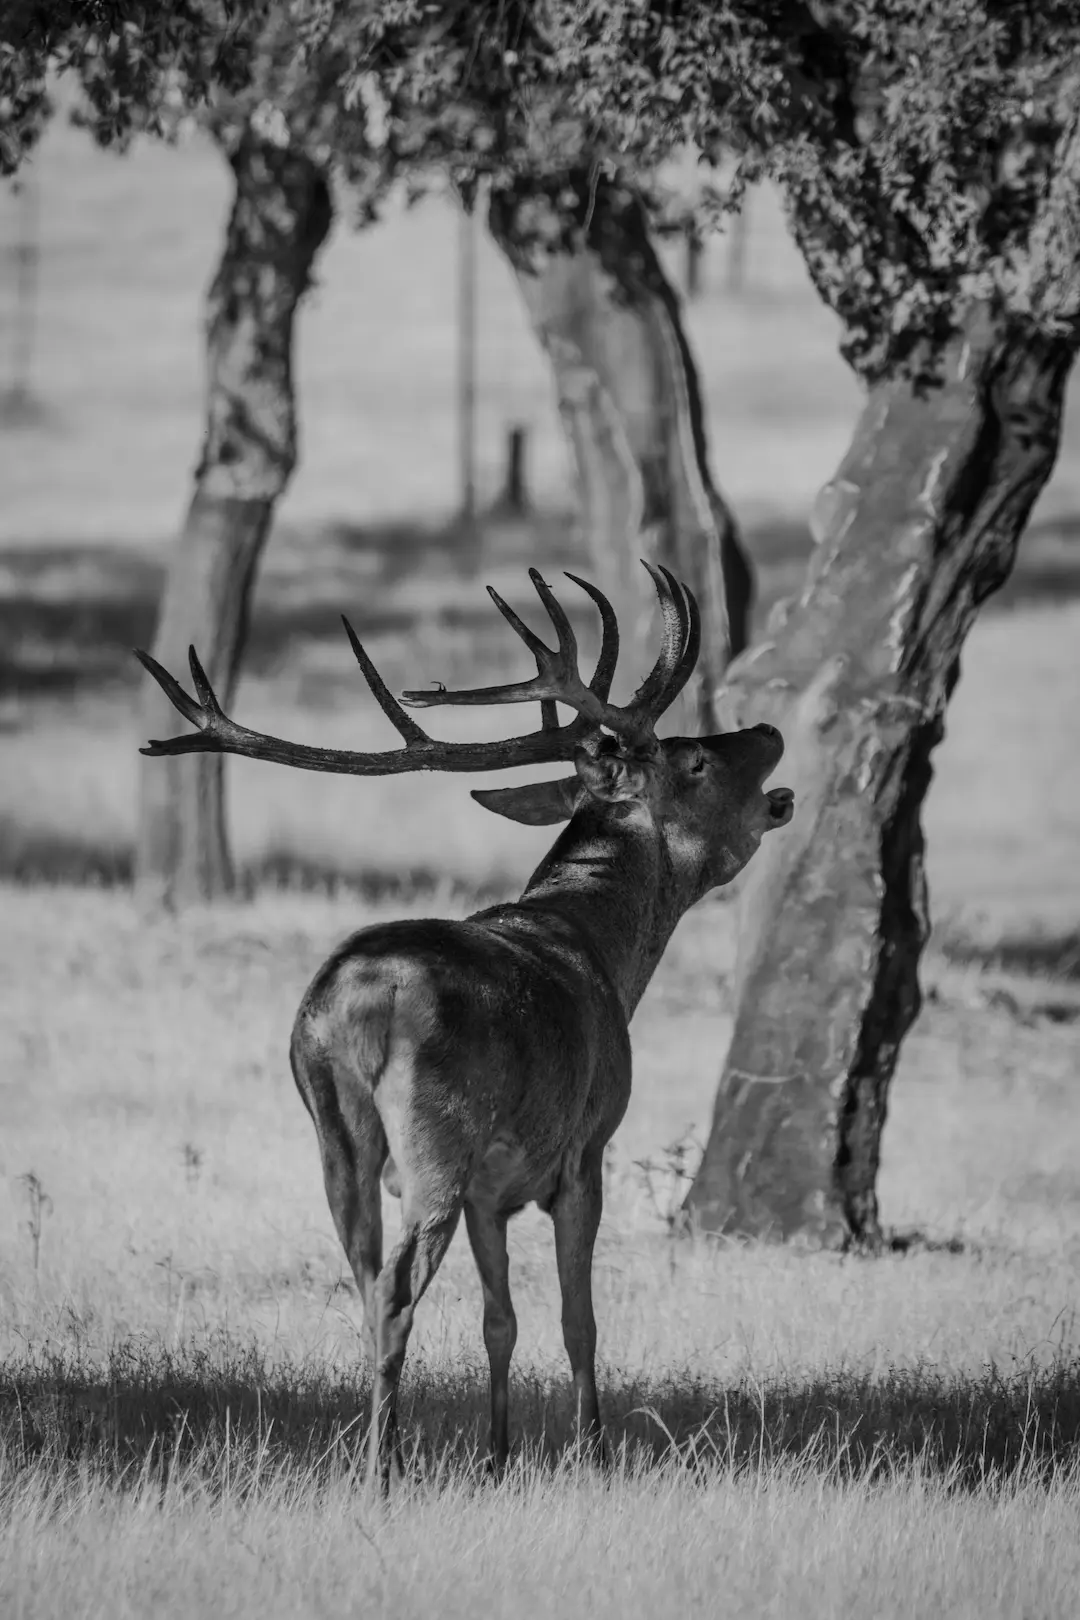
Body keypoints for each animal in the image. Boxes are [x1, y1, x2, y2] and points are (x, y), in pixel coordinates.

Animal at [132, 563, 793, 1483]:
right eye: (696, 758)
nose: (767, 727)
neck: (606, 955)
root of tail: (357, 1002)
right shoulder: (586, 1145)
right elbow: (578, 1319)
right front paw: (591, 1450)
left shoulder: (492, 1187)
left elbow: (499, 1319)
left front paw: (498, 1453)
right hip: (436, 1135)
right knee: (396, 1290)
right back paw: (384, 1467)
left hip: (334, 1133)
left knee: (363, 1280)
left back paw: (384, 1444)